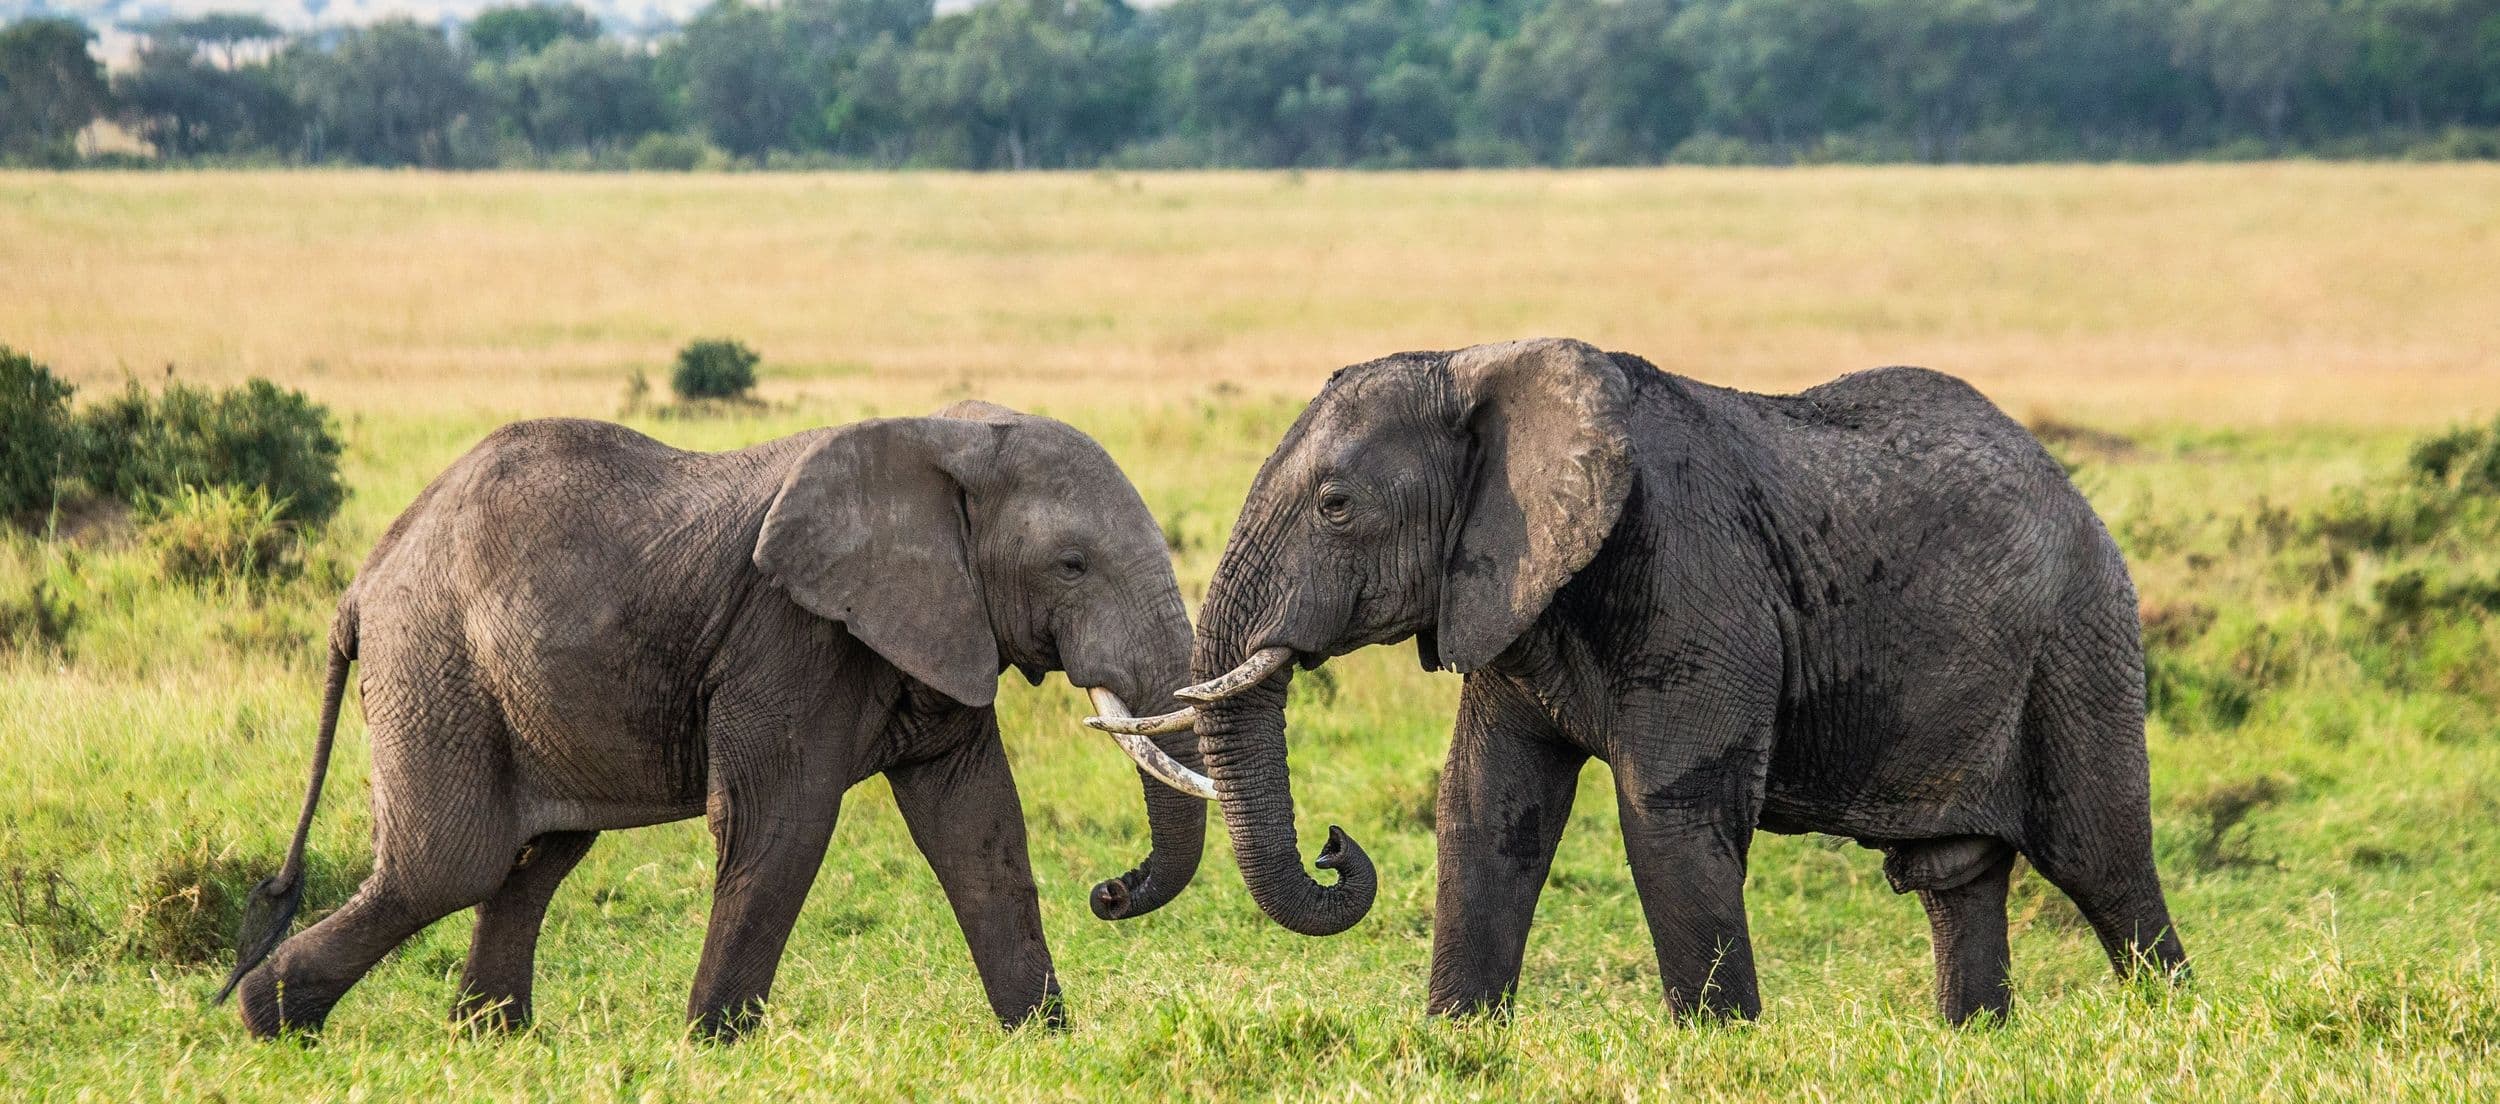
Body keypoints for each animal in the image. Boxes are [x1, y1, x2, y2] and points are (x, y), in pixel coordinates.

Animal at [218, 401, 1215, 1040]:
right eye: (1073, 565)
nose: (1111, 891)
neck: (943, 436)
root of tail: (363, 583)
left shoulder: (941, 629)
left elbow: (979, 828)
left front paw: (1045, 1041)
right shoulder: (788, 634)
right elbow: (783, 824)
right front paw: (712, 1047)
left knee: (533, 860)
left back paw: (488, 1039)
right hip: (437, 664)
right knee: (448, 865)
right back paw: (272, 1023)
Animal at [1151, 337, 2188, 1024]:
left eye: (1336, 507)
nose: (1335, 846)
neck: (1476, 365)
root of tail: (2073, 492)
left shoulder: (1692, 580)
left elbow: (1668, 816)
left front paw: (1721, 1045)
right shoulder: (1508, 593)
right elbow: (1485, 808)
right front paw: (1457, 1041)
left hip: (2079, 642)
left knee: (2103, 859)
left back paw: (2169, 1023)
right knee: (1956, 875)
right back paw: (1972, 1038)